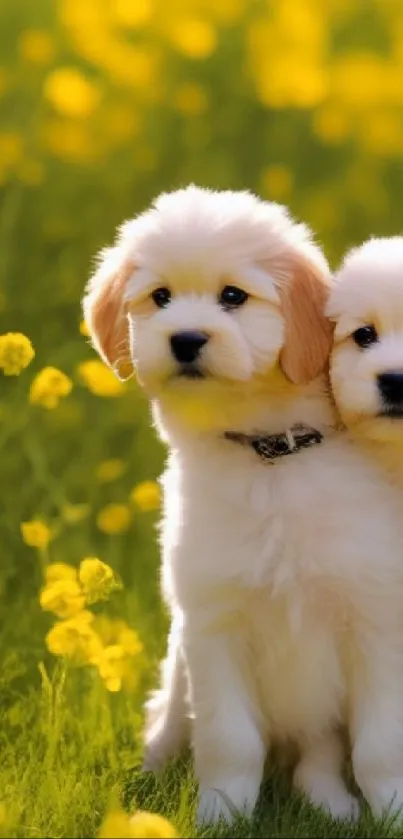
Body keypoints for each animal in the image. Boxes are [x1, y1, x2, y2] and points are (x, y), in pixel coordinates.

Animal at [83, 190, 403, 828]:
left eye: (234, 296)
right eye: (160, 297)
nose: (186, 339)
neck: (268, 458)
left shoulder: (374, 623)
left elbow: (379, 745)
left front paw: (393, 813)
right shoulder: (213, 627)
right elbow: (230, 742)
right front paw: (220, 816)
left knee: (317, 759)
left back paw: (332, 807)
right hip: (176, 684)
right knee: (167, 732)